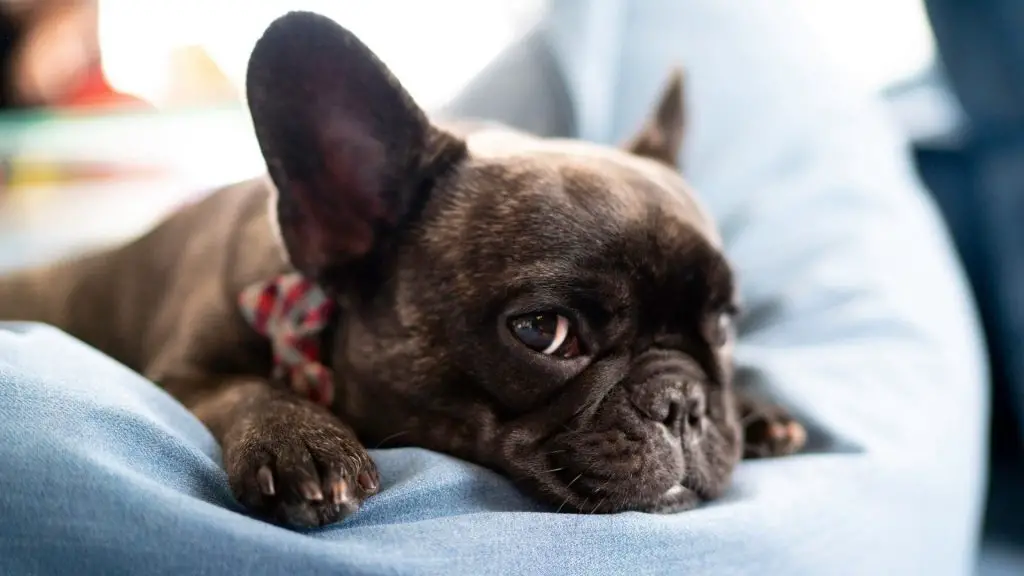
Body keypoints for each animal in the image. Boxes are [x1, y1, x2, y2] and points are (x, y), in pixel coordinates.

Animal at [0, 11, 802, 528]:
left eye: (724, 326)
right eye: (542, 332)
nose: (683, 403)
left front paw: (755, 410)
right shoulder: (186, 369)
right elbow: (245, 388)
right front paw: (301, 439)